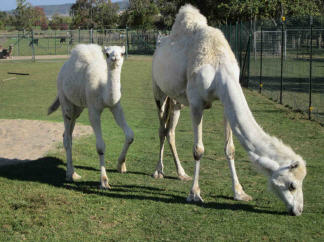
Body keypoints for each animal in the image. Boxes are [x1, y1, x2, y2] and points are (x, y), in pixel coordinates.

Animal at [47, 44, 133, 189]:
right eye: (107, 54)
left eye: (122, 53)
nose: (114, 58)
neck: (103, 88)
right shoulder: (93, 110)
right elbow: (100, 146)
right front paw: (104, 182)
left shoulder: (116, 106)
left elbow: (130, 136)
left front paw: (121, 166)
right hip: (65, 101)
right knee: (67, 136)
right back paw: (71, 174)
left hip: (78, 107)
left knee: (67, 133)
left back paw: (73, 173)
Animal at [152, 4, 306, 216]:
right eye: (292, 185)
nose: (298, 210)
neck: (218, 65)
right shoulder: (196, 102)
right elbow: (198, 150)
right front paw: (194, 194)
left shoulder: (225, 101)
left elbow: (230, 149)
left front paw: (240, 193)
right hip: (159, 91)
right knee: (161, 128)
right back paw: (158, 171)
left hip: (176, 101)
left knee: (170, 131)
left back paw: (181, 173)